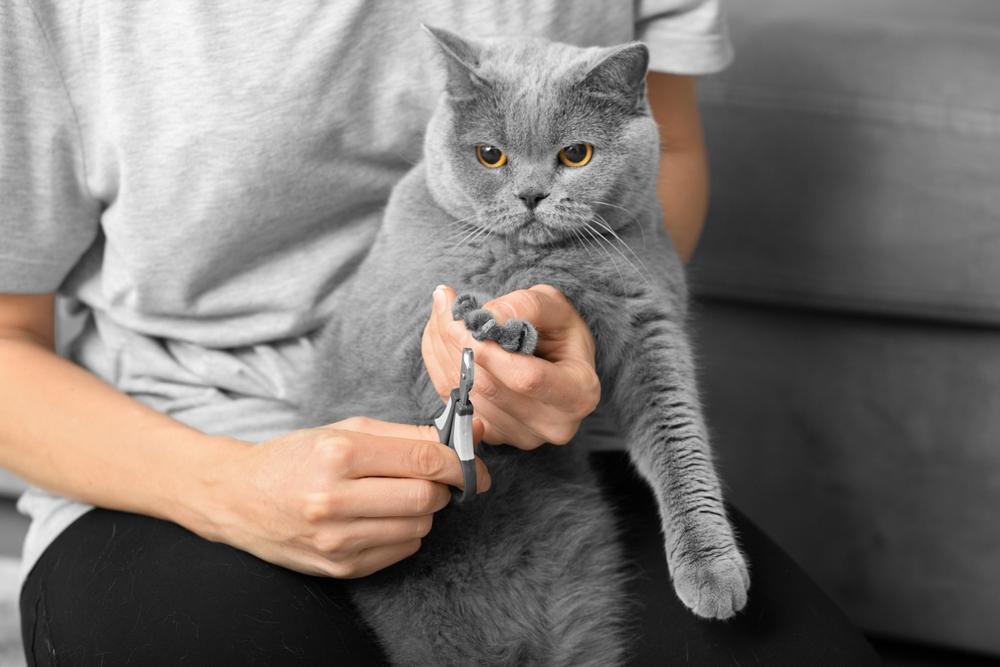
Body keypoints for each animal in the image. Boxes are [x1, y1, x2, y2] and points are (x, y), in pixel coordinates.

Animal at [304, 27, 752, 667]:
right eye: (490, 155)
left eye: (577, 154)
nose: (533, 195)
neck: (542, 261)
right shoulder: (390, 343)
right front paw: (502, 327)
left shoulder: (653, 323)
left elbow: (680, 441)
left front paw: (714, 572)